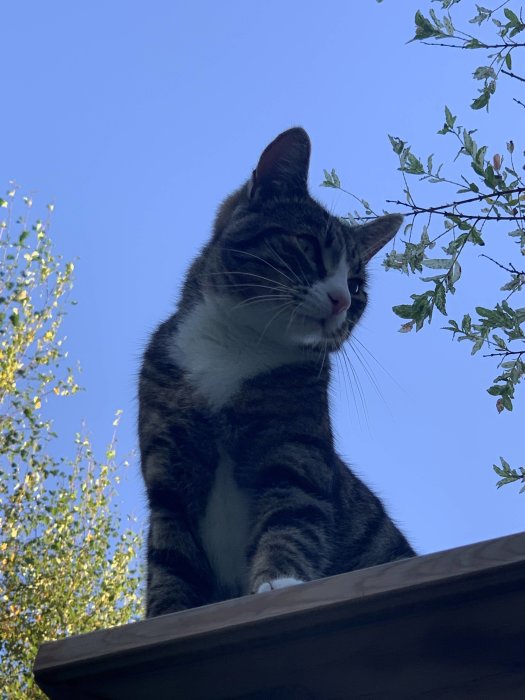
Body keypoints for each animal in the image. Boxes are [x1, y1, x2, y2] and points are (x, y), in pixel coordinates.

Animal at [138, 127, 414, 616]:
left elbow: (292, 518)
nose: (342, 300)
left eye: (357, 286)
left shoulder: (296, 451)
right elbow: (170, 559)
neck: (234, 346)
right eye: (308, 246)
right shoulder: (166, 473)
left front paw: (279, 583)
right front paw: (165, 615)